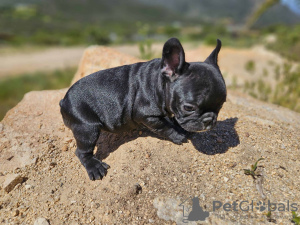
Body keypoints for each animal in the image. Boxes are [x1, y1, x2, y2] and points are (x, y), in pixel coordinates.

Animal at [59, 37, 226, 180]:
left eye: (221, 105)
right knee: (82, 150)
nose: (209, 120)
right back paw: (94, 166)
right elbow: (165, 127)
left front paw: (180, 127)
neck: (160, 82)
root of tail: (64, 101)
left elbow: (172, 120)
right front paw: (178, 135)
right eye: (189, 107)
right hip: (86, 128)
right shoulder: (147, 116)